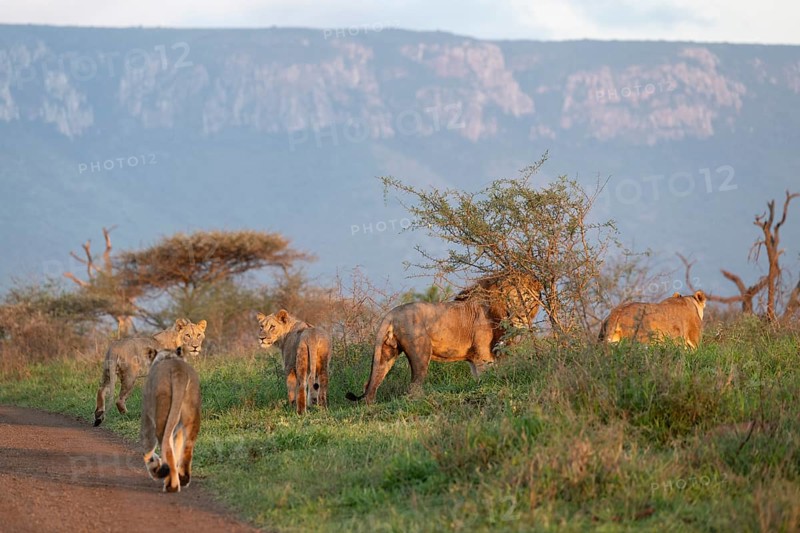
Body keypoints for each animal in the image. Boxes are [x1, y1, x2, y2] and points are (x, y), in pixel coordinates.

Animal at [140, 348, 201, 493]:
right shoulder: (178, 431)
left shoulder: (147, 420)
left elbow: (147, 450)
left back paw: (171, 485)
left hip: (161, 416)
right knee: (187, 446)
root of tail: (177, 370)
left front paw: (156, 467)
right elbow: (177, 449)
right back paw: (183, 478)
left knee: (167, 448)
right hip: (191, 415)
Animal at [346, 274, 542, 404]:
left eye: (526, 298)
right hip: (421, 354)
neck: (498, 311)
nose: (520, 317)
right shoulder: (483, 357)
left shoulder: (479, 358)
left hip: (386, 354)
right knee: (413, 387)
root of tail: (391, 314)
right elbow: (487, 379)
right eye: (510, 298)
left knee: (370, 386)